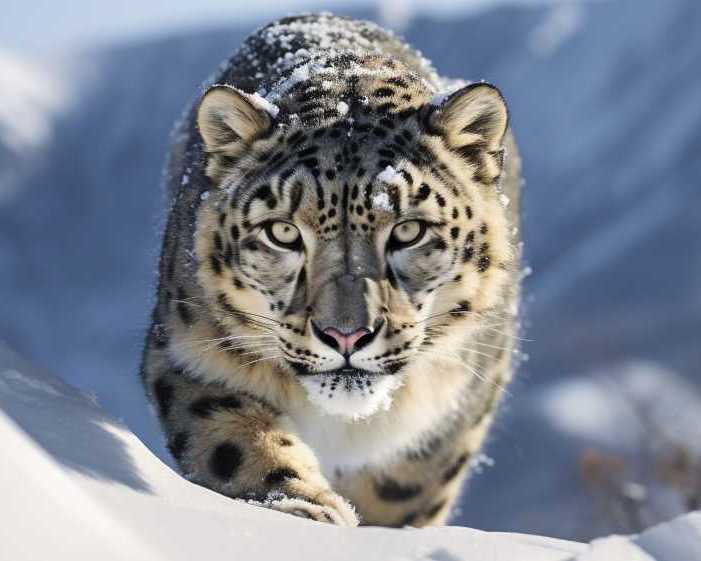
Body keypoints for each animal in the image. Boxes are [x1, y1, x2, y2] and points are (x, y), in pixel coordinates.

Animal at [141, 13, 522, 528]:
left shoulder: (457, 408)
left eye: (409, 230)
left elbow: (405, 493)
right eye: (282, 232)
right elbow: (235, 439)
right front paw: (308, 511)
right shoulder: (189, 355)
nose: (346, 335)